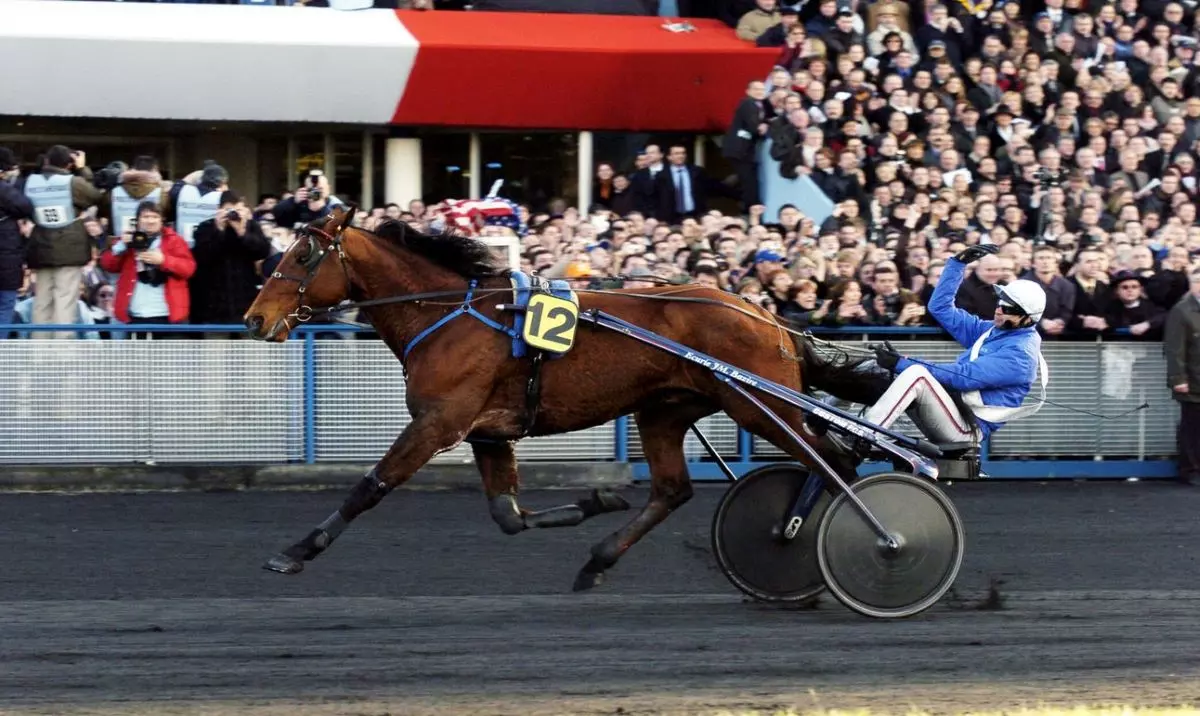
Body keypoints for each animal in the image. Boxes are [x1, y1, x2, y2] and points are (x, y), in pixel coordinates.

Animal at [248, 203, 878, 590]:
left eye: (303, 256)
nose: (255, 318)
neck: (453, 313)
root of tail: (769, 317)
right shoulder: (488, 432)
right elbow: (508, 516)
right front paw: (597, 500)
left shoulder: (439, 422)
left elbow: (369, 487)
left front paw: (296, 551)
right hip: (665, 410)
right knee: (672, 490)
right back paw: (598, 561)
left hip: (761, 406)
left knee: (837, 463)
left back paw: (838, 539)